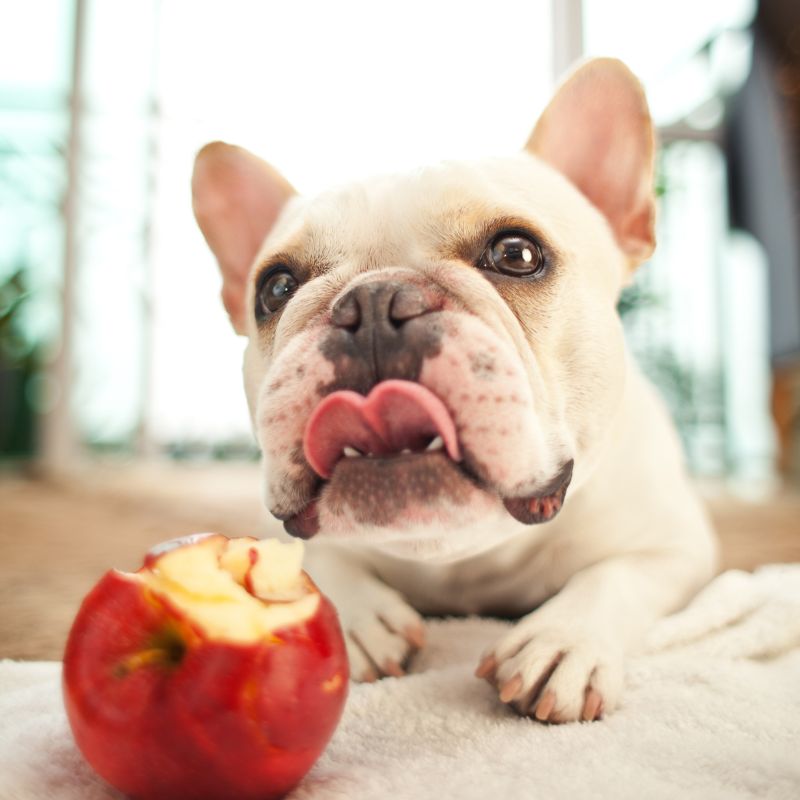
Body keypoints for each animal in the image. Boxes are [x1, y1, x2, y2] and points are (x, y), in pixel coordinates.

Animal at [192, 59, 720, 720]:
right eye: (276, 287)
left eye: (517, 253)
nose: (373, 302)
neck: (461, 556)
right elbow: (310, 551)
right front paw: (353, 620)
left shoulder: (675, 545)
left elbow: (616, 577)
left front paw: (563, 639)